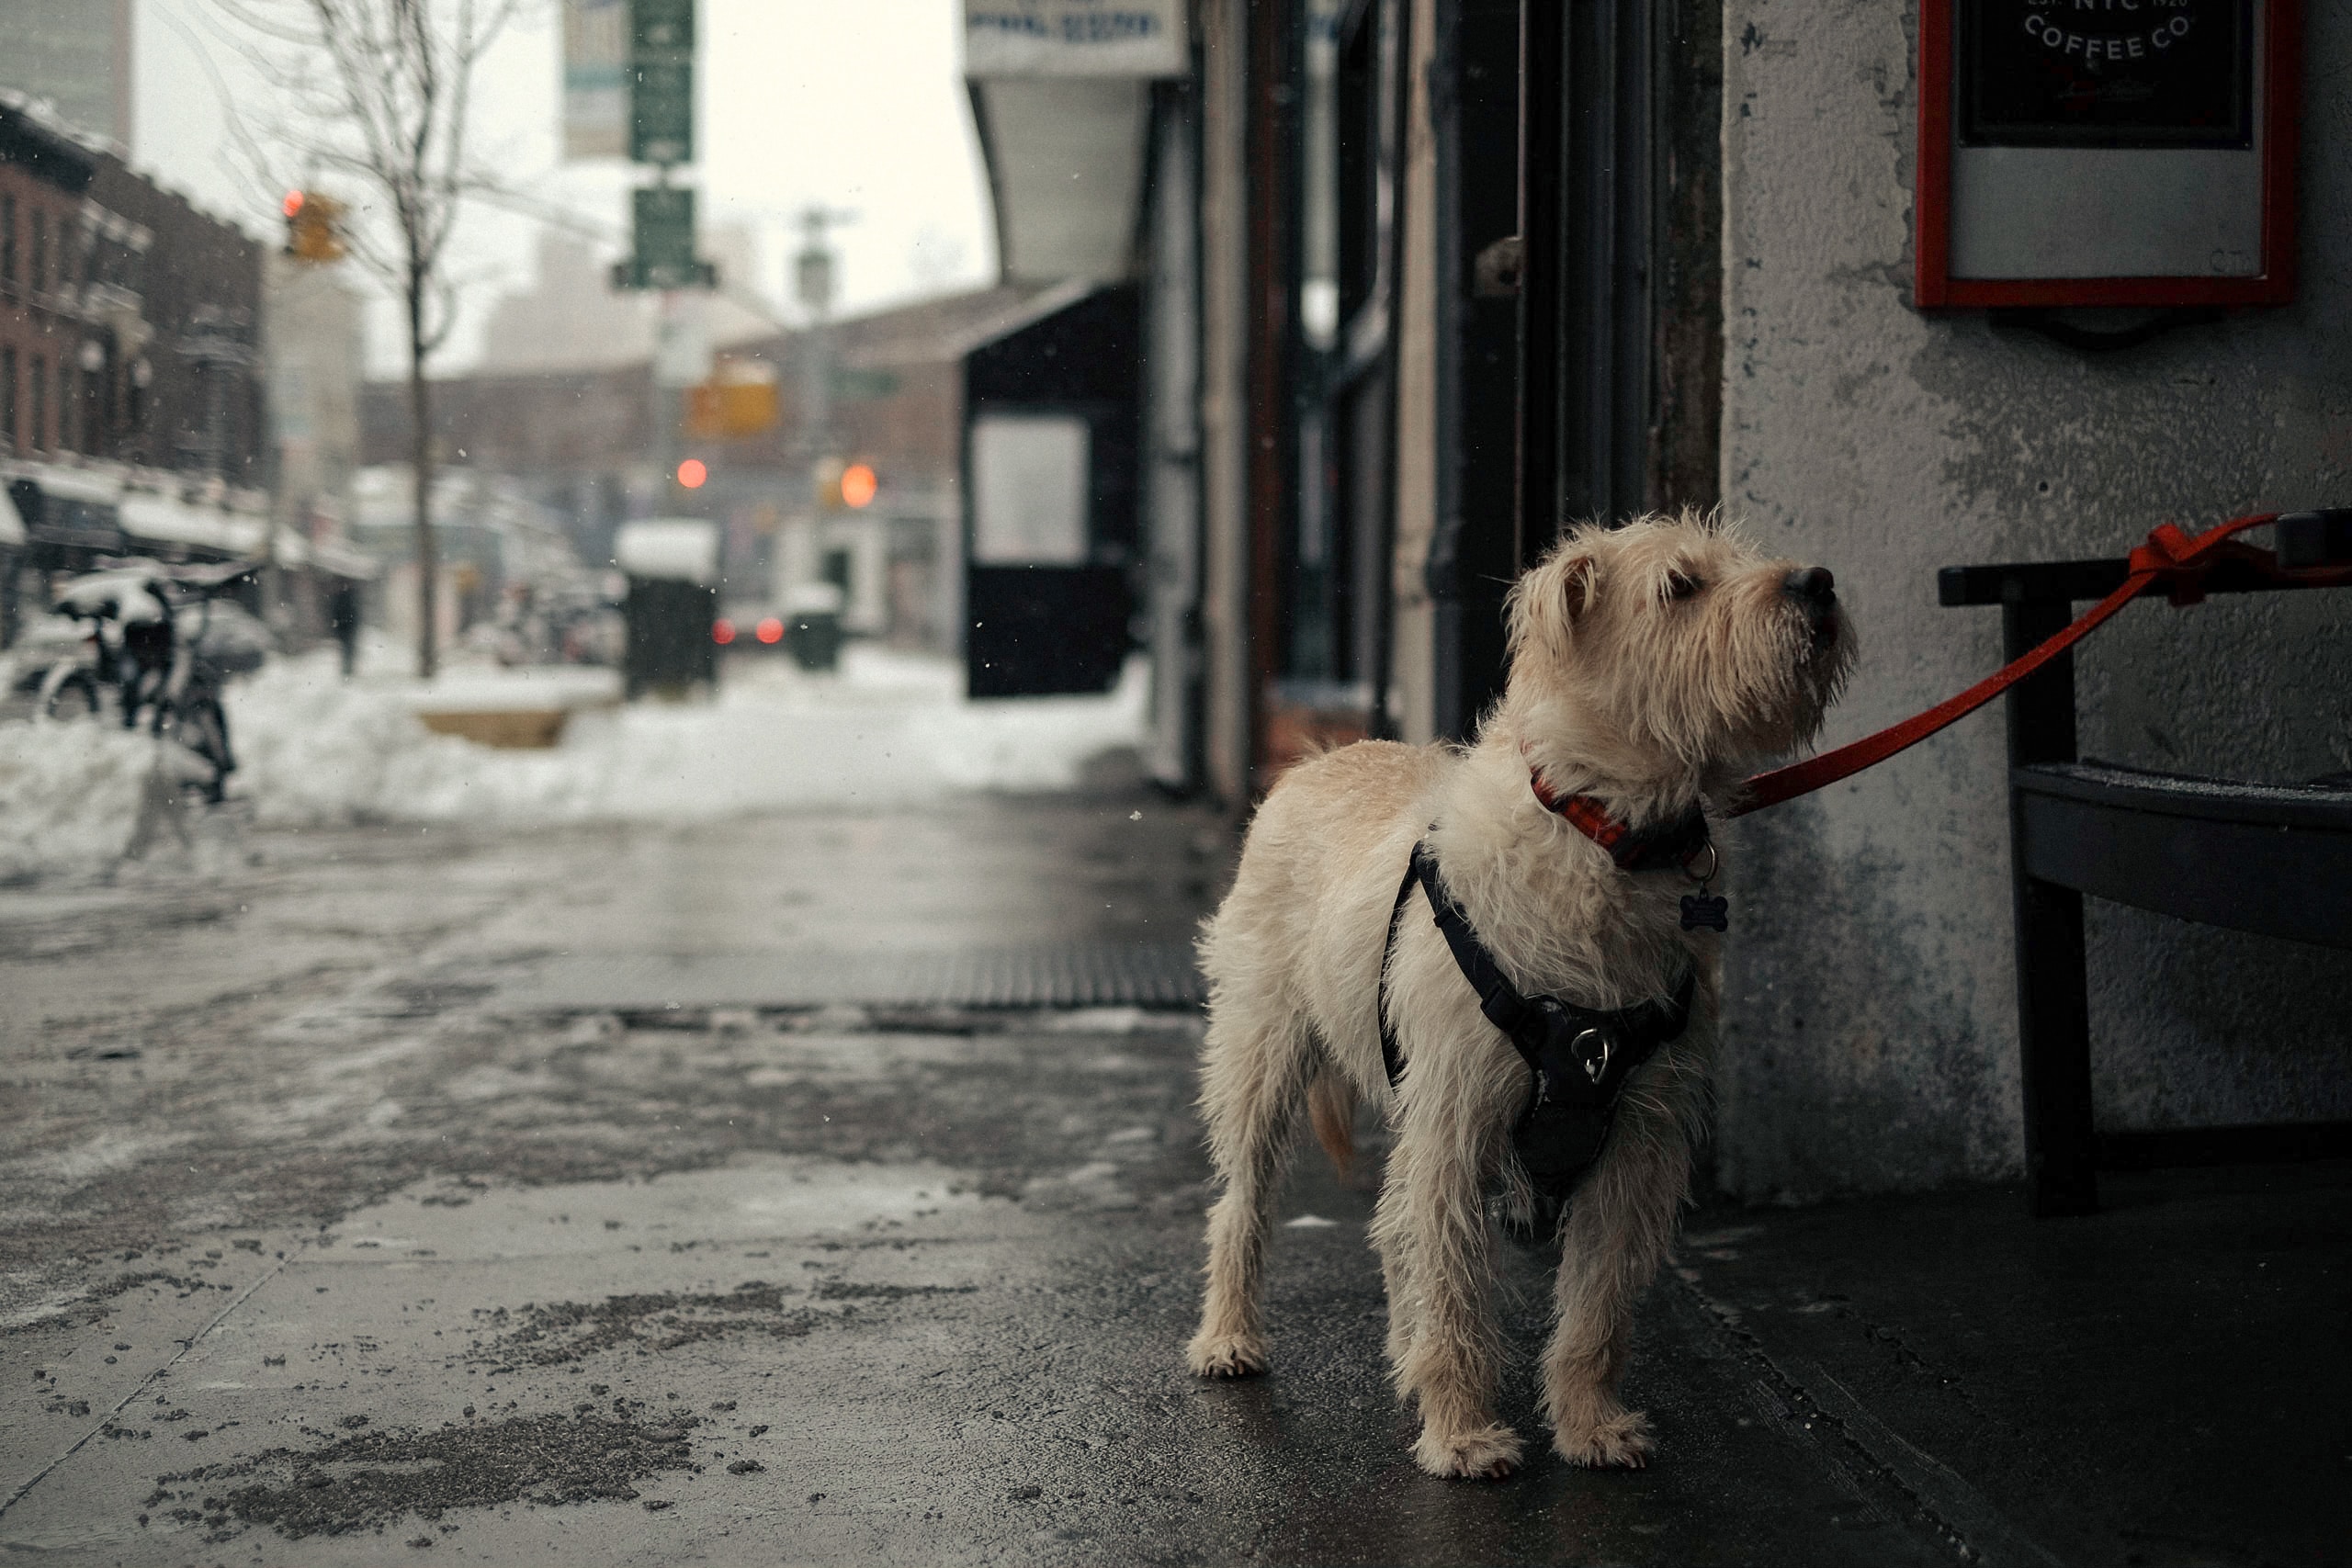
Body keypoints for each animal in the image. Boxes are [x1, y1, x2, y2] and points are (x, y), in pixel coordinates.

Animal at [1185, 514, 1844, 1485]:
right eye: (1681, 585)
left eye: (1747, 558)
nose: (1820, 583)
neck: (1603, 832)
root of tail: (1313, 758)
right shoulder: (1459, 1123)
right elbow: (1459, 1291)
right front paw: (1463, 1434)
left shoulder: (1638, 1143)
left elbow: (1596, 1309)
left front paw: (1588, 1424)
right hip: (1261, 1057)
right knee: (1246, 1204)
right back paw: (1229, 1337)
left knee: (1393, 1227)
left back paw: (1402, 1354)